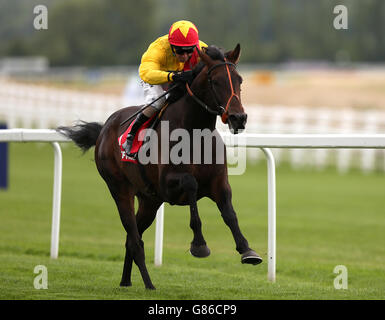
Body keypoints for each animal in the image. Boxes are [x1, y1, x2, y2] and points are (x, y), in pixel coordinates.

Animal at [58, 43, 262, 288]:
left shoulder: (219, 183)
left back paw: (126, 281)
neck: (194, 133)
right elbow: (191, 184)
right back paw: (148, 284)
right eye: (215, 81)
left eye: (239, 80)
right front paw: (199, 245)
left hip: (149, 201)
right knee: (134, 238)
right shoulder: (168, 185)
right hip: (120, 189)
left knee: (132, 237)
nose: (238, 118)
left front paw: (247, 250)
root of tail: (104, 129)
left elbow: (230, 214)